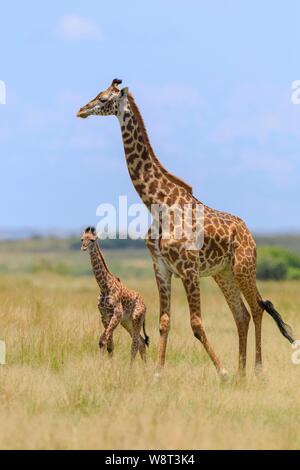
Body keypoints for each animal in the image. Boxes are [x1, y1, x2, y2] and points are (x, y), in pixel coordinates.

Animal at [81, 228, 149, 364]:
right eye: (82, 239)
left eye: (92, 240)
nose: (83, 247)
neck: (104, 286)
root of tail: (145, 306)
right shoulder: (104, 315)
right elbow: (109, 345)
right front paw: (107, 366)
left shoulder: (116, 314)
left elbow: (103, 341)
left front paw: (101, 366)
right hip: (127, 322)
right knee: (141, 342)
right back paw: (145, 367)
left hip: (136, 318)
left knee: (135, 343)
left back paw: (130, 368)